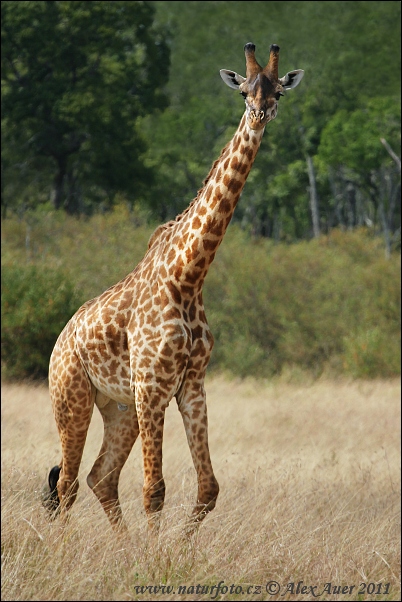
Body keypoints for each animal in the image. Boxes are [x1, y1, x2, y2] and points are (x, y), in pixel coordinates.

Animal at [44, 42, 304, 528]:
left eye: (278, 90)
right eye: (243, 90)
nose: (260, 113)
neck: (189, 275)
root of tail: (59, 342)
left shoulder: (191, 386)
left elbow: (208, 489)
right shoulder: (152, 386)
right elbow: (155, 490)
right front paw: (158, 548)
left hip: (119, 409)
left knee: (98, 478)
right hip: (72, 399)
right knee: (67, 484)